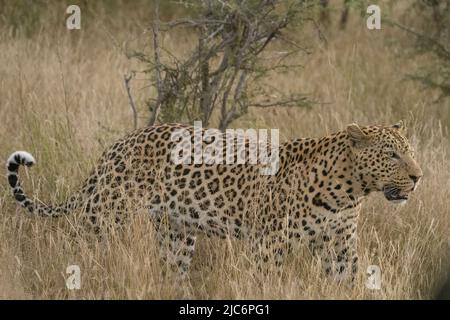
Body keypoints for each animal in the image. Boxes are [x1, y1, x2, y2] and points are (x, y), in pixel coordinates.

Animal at [6, 121, 422, 282]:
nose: (418, 178)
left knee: (173, 269)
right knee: (77, 244)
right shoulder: (269, 243)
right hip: (106, 214)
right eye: (391, 155)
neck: (348, 190)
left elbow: (349, 279)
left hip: (176, 231)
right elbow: (265, 281)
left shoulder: (340, 244)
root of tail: (118, 144)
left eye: (410, 152)